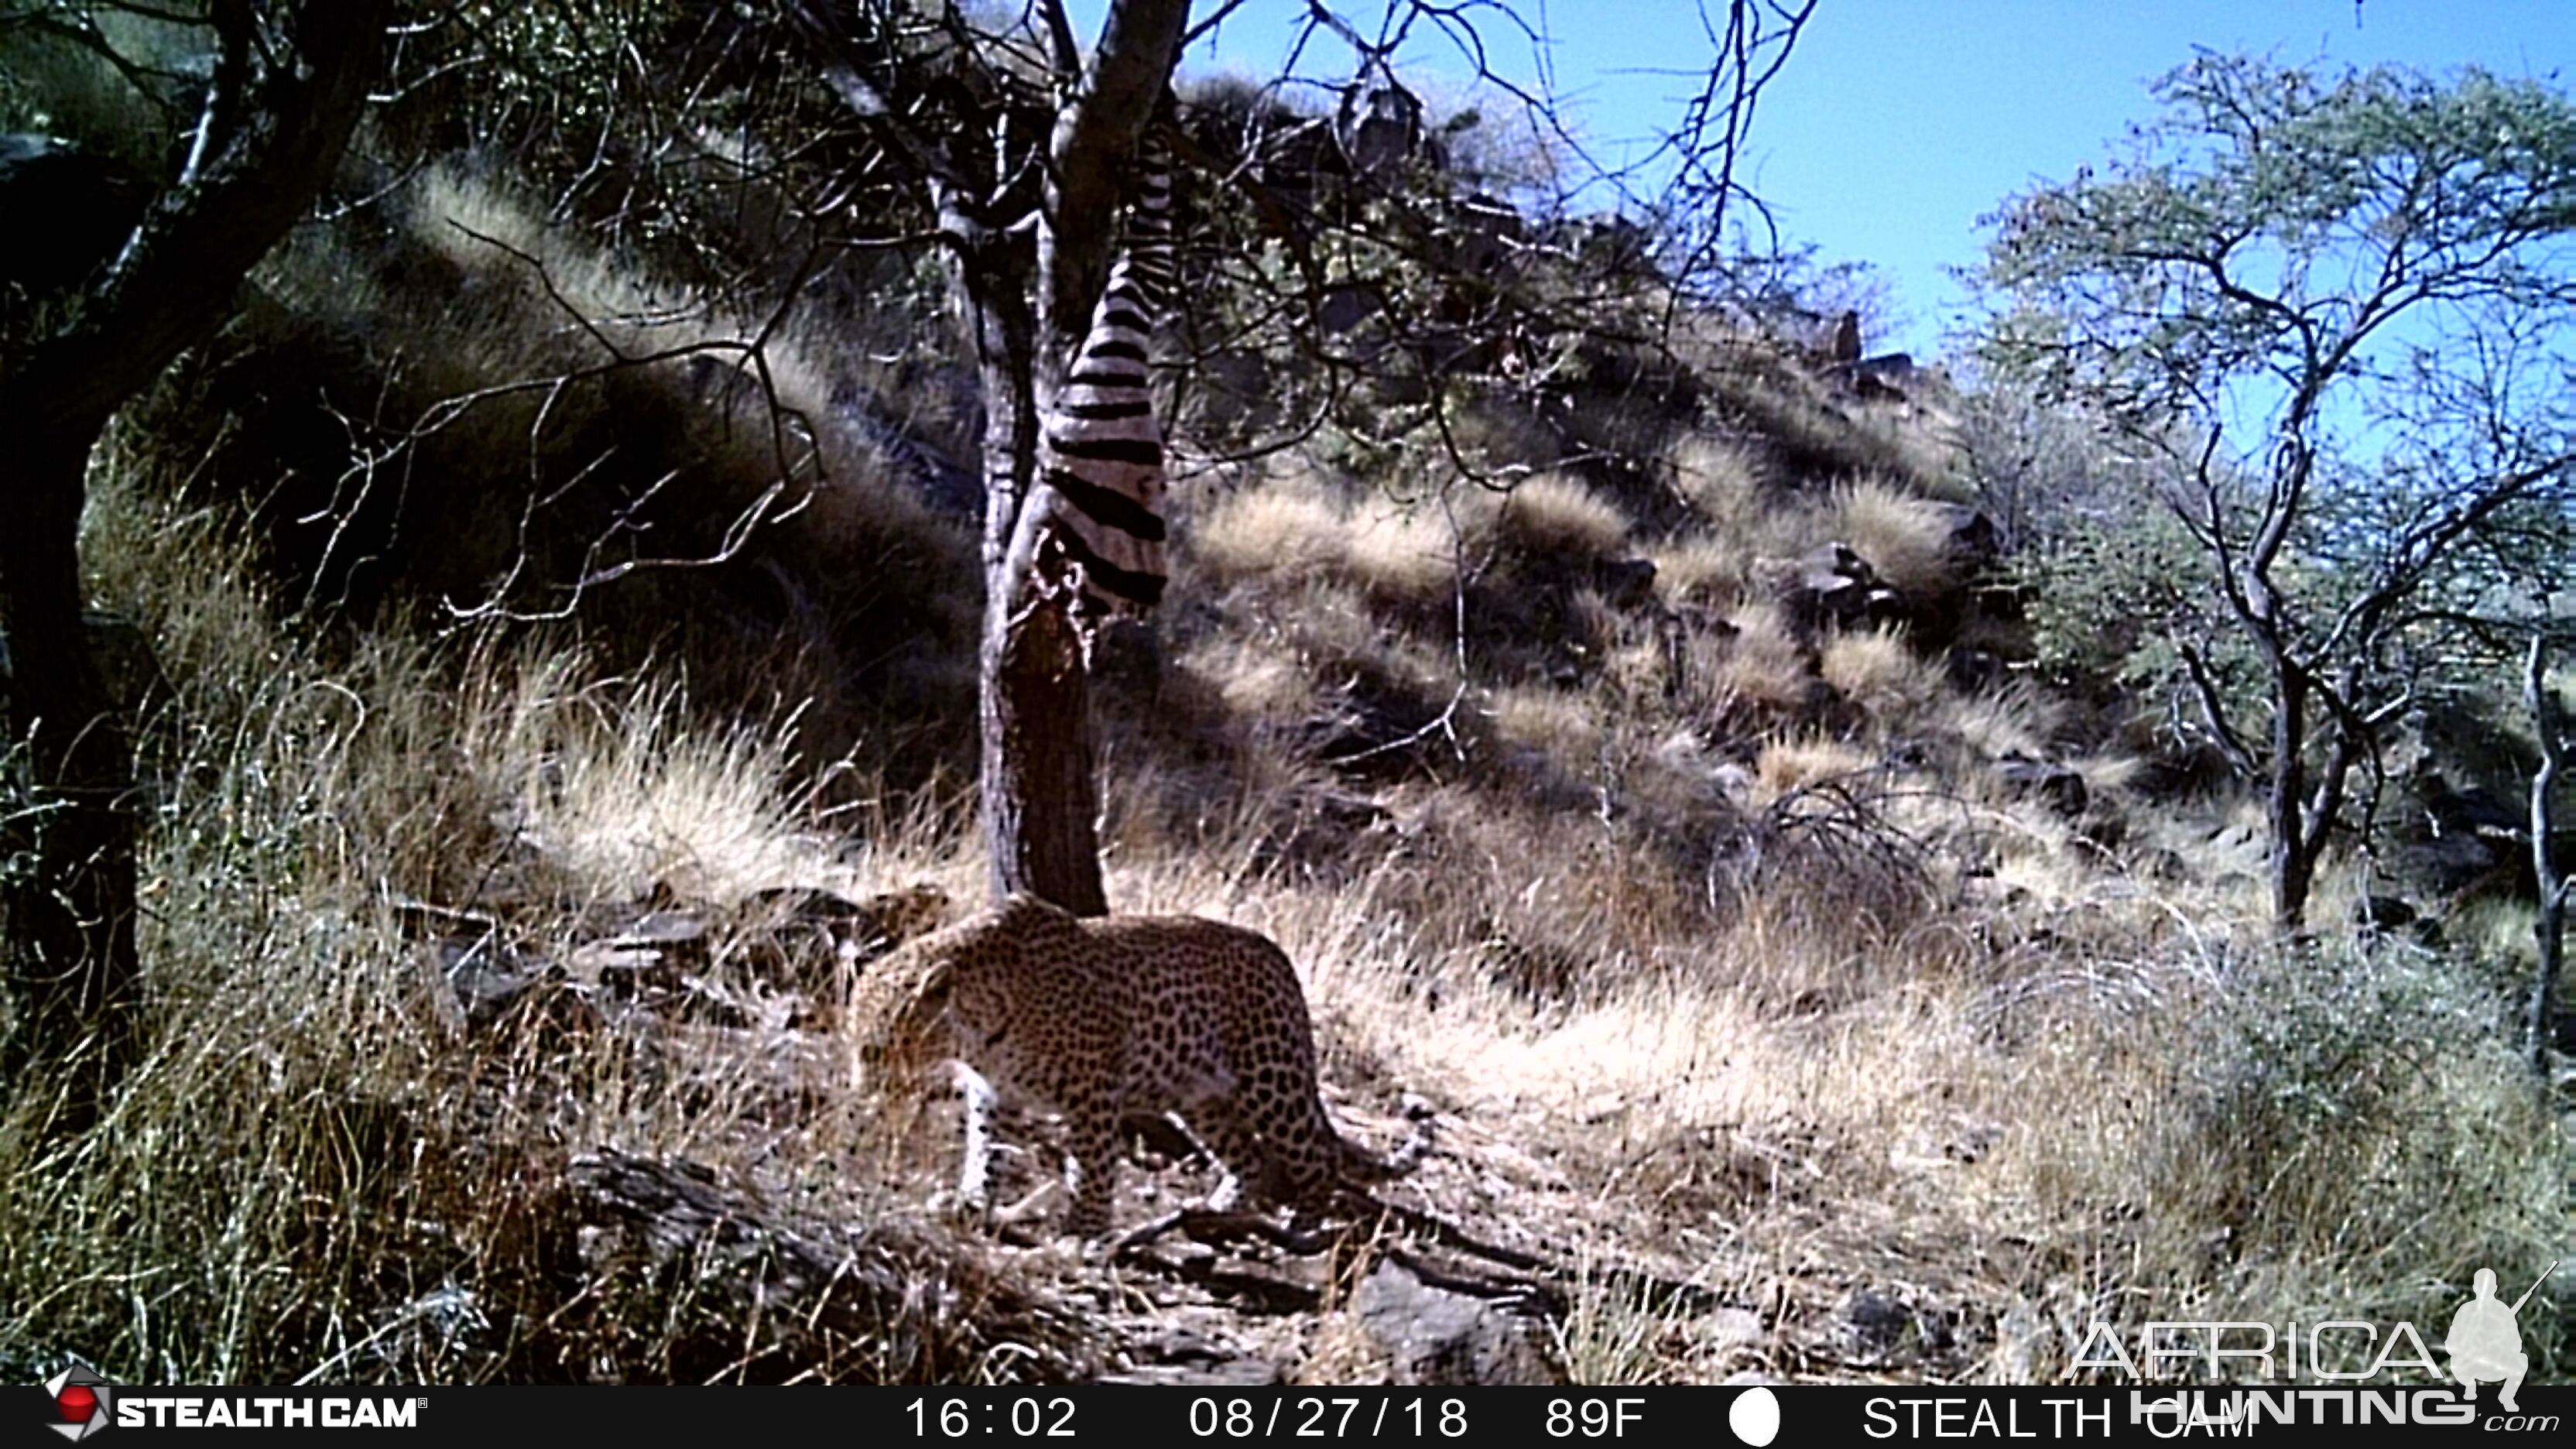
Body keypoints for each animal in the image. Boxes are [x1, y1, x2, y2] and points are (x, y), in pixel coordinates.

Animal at [860, 892, 1432, 1227]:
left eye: (878, 1050)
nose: (863, 1096)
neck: (981, 1026)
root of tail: (1281, 961)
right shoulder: (993, 1091)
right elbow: (985, 1148)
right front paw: (973, 1203)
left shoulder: (1093, 1090)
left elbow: (1093, 1167)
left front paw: (1083, 1233)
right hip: (1201, 1099)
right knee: (1251, 1157)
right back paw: (1217, 1209)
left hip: (1272, 1077)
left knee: (1316, 1152)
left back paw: (1306, 1226)